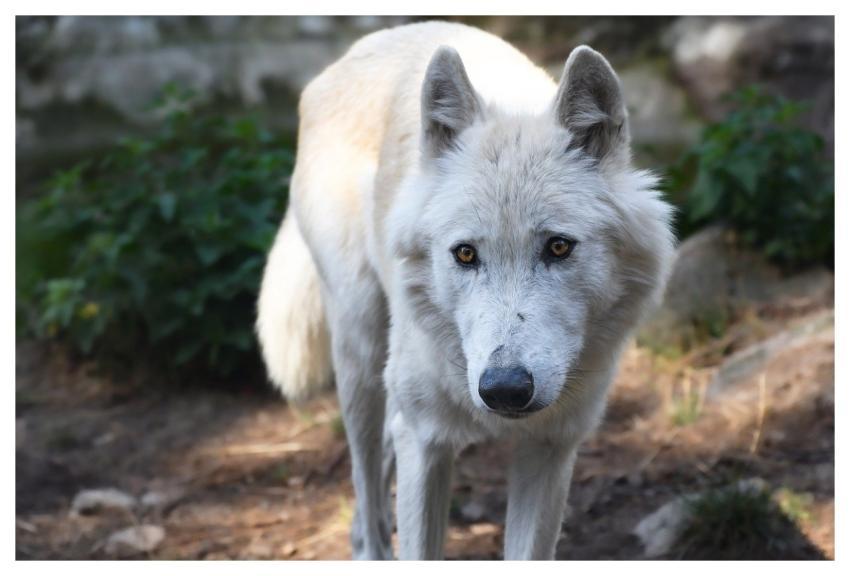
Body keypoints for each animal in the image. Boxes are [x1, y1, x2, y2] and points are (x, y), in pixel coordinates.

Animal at [256, 21, 675, 560]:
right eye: (466, 254)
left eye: (559, 247)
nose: (505, 390)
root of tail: (371, 40)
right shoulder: (425, 443)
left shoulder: (551, 448)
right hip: (360, 356)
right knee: (366, 489)